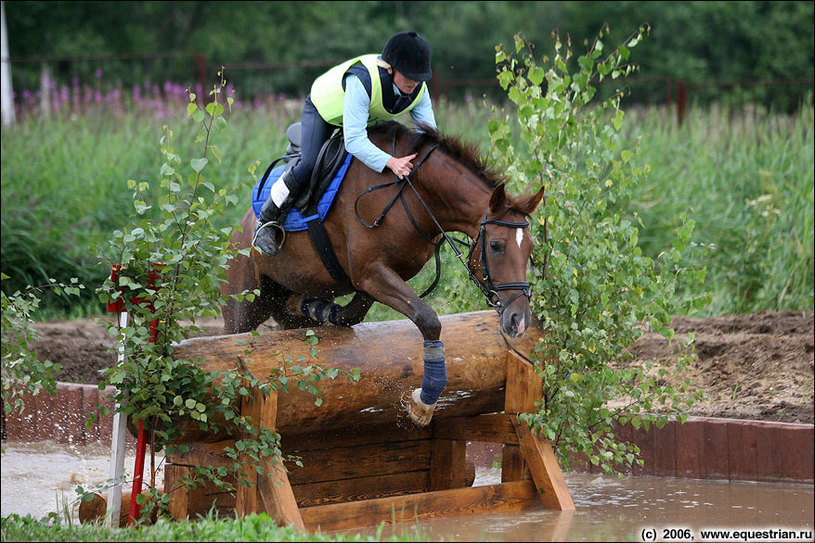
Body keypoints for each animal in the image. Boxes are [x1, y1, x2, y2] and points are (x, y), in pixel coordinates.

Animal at [220, 121, 544, 428]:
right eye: (496, 245)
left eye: (530, 248)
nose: (518, 321)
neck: (415, 196)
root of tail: (238, 228)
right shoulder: (370, 273)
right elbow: (428, 319)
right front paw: (423, 403)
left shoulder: (375, 281)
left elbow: (353, 314)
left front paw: (319, 309)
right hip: (243, 307)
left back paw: (299, 304)